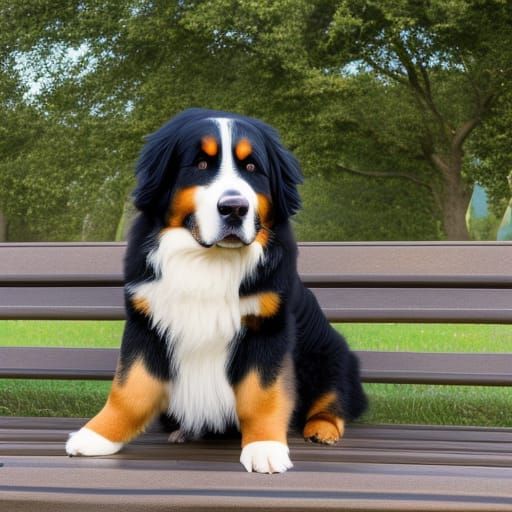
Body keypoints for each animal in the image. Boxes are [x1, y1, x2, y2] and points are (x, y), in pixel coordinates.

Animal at [66, 110, 366, 474]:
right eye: (200, 164)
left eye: (251, 167)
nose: (234, 207)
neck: (208, 259)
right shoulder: (146, 323)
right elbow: (129, 389)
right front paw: (97, 435)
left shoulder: (266, 328)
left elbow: (262, 394)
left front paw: (265, 446)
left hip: (331, 352)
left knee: (334, 397)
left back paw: (322, 429)